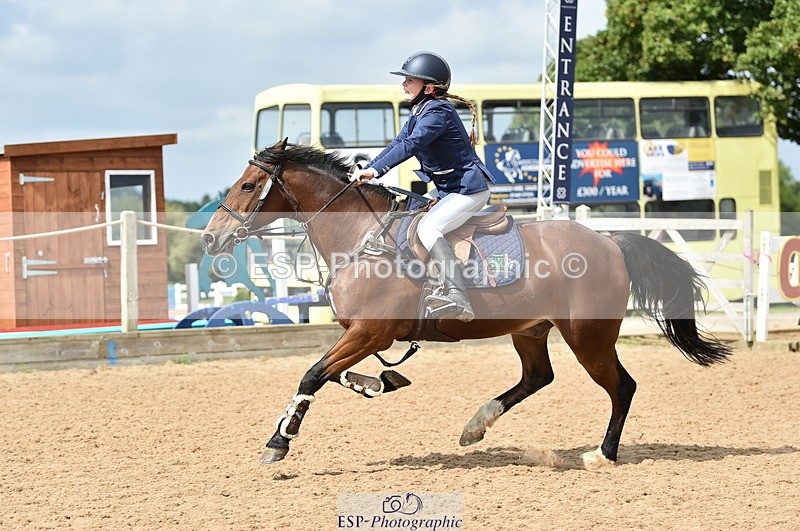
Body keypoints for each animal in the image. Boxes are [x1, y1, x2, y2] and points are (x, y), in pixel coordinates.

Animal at [201, 140, 732, 466]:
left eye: (247, 186)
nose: (210, 238)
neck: (361, 237)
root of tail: (610, 242)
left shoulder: (370, 332)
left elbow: (312, 375)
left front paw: (278, 442)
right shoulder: (361, 335)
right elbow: (334, 373)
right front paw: (379, 382)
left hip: (589, 337)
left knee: (621, 387)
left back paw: (601, 454)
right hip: (531, 330)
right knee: (537, 377)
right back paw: (476, 426)